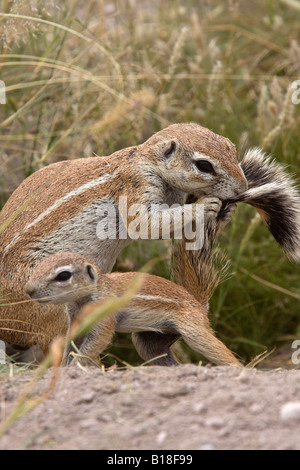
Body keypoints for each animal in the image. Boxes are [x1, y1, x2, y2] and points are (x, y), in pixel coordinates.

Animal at [0, 123, 248, 350]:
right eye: (204, 165)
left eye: (230, 146)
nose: (243, 188)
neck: (145, 159)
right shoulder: (138, 184)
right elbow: (146, 224)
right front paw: (207, 204)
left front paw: (227, 212)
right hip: (52, 307)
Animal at [25, 205, 241, 368]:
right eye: (39, 266)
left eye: (63, 275)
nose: (29, 290)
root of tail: (196, 300)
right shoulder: (76, 318)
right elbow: (72, 343)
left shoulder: (104, 317)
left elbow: (95, 343)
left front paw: (75, 367)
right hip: (150, 340)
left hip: (194, 329)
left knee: (216, 350)